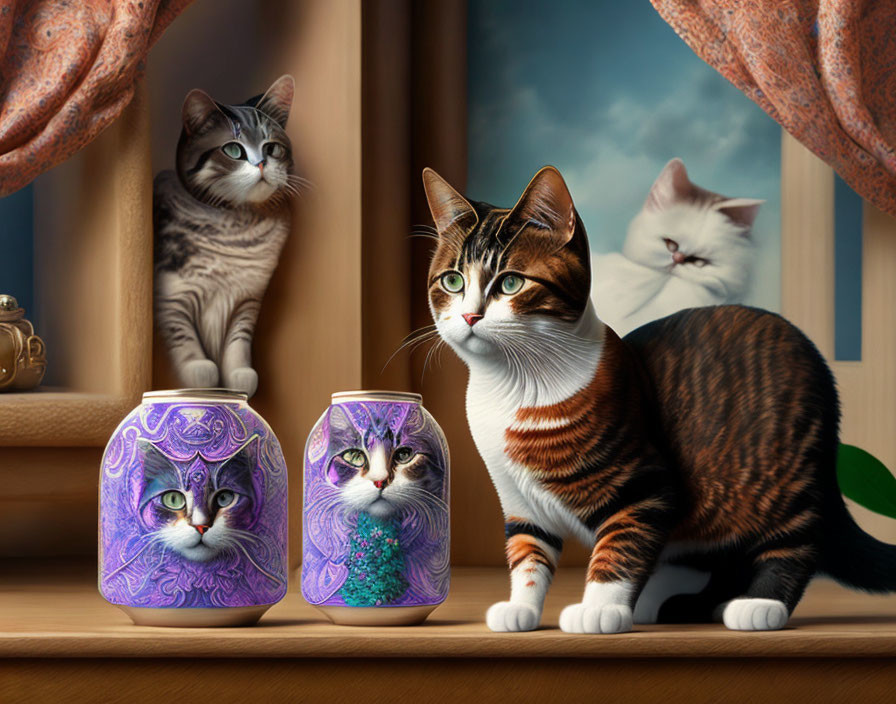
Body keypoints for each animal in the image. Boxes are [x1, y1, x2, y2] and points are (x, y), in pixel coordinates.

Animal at [151, 77, 298, 398]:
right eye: (233, 150)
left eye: (271, 148)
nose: (261, 164)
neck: (238, 228)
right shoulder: (171, 293)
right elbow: (181, 332)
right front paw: (199, 370)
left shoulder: (247, 300)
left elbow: (238, 340)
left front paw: (240, 375)